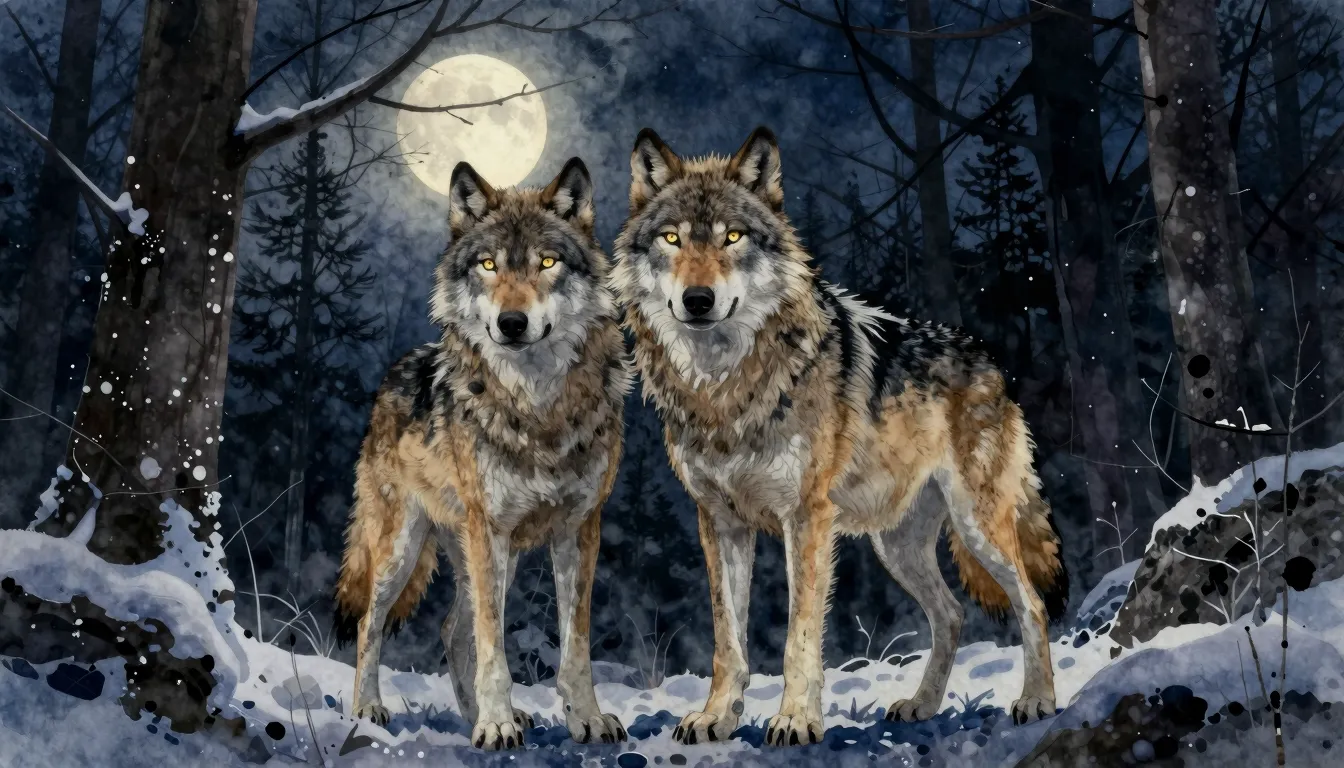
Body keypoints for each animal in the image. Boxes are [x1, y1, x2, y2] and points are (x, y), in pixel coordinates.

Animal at [332, 158, 631, 750]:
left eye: (547, 262)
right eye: (489, 265)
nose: (511, 323)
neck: (537, 410)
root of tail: (394, 373)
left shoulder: (579, 529)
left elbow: (575, 647)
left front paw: (584, 719)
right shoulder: (489, 528)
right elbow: (495, 647)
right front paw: (495, 724)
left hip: (497, 555)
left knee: (453, 630)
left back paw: (485, 717)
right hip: (405, 547)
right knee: (371, 622)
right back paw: (369, 709)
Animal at [612, 127, 1068, 747]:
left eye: (732, 236)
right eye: (671, 239)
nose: (698, 300)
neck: (725, 388)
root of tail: (992, 364)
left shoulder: (806, 517)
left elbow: (799, 636)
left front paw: (795, 720)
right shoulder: (720, 521)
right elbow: (728, 639)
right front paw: (717, 716)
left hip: (979, 526)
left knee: (1032, 605)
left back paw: (1037, 699)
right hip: (895, 545)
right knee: (950, 614)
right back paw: (922, 705)